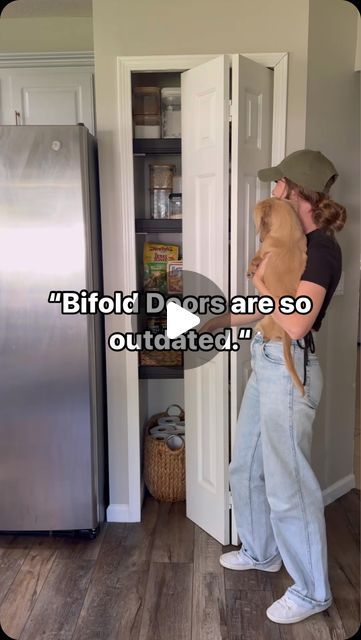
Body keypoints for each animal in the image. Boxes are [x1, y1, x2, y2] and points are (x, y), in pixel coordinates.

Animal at [248, 196, 306, 396]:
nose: (259, 239)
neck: (287, 234)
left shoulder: (263, 251)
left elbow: (256, 258)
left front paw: (251, 269)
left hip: (262, 323)